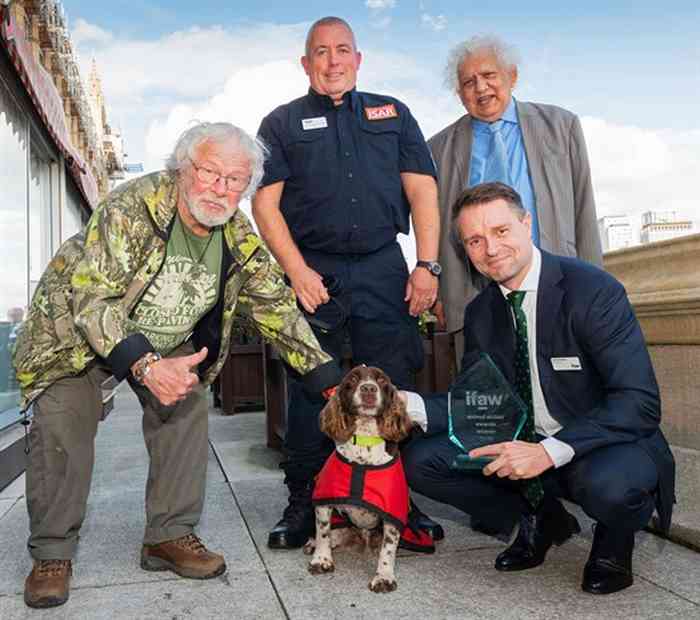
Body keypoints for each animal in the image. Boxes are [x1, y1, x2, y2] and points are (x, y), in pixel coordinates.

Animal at [304, 366, 412, 592]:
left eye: (382, 380)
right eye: (353, 379)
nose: (369, 388)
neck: (364, 439)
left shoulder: (392, 511)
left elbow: (388, 548)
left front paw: (384, 576)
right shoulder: (325, 501)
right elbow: (323, 531)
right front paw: (321, 559)